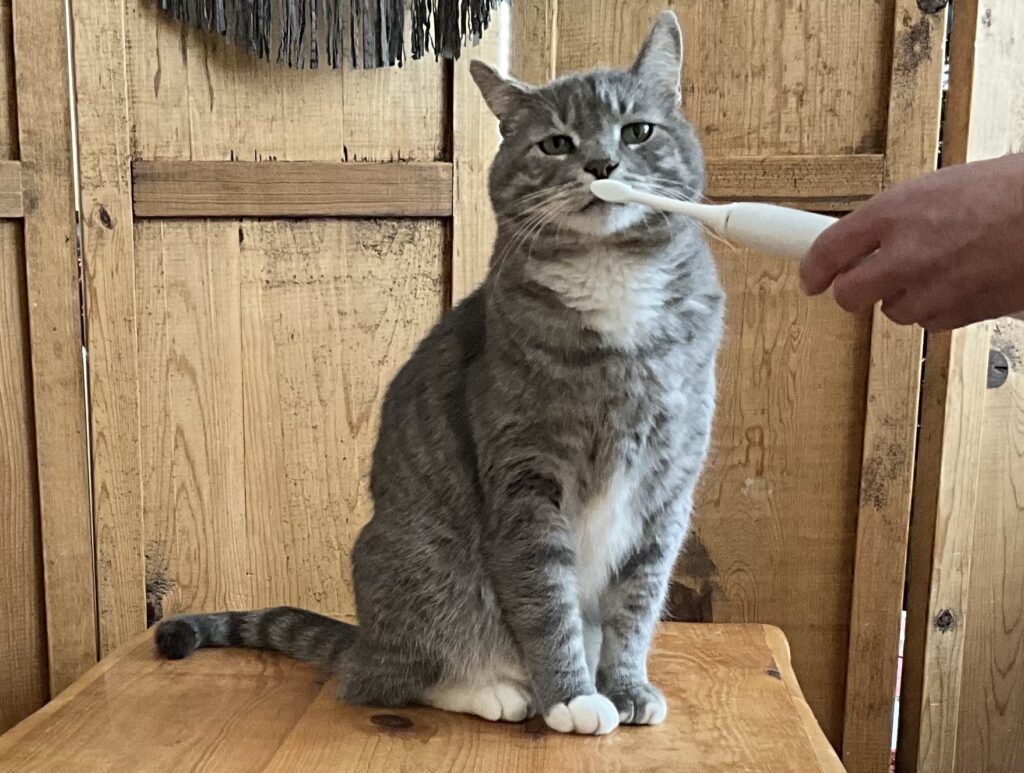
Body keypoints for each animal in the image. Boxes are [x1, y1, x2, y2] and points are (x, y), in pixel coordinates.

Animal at [155, 12, 724, 737]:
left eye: (638, 131)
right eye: (556, 143)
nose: (602, 165)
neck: (613, 281)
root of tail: (365, 637)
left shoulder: (667, 484)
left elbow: (638, 601)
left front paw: (623, 686)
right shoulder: (526, 478)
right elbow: (545, 599)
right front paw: (570, 696)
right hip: (423, 562)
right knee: (392, 677)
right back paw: (495, 690)